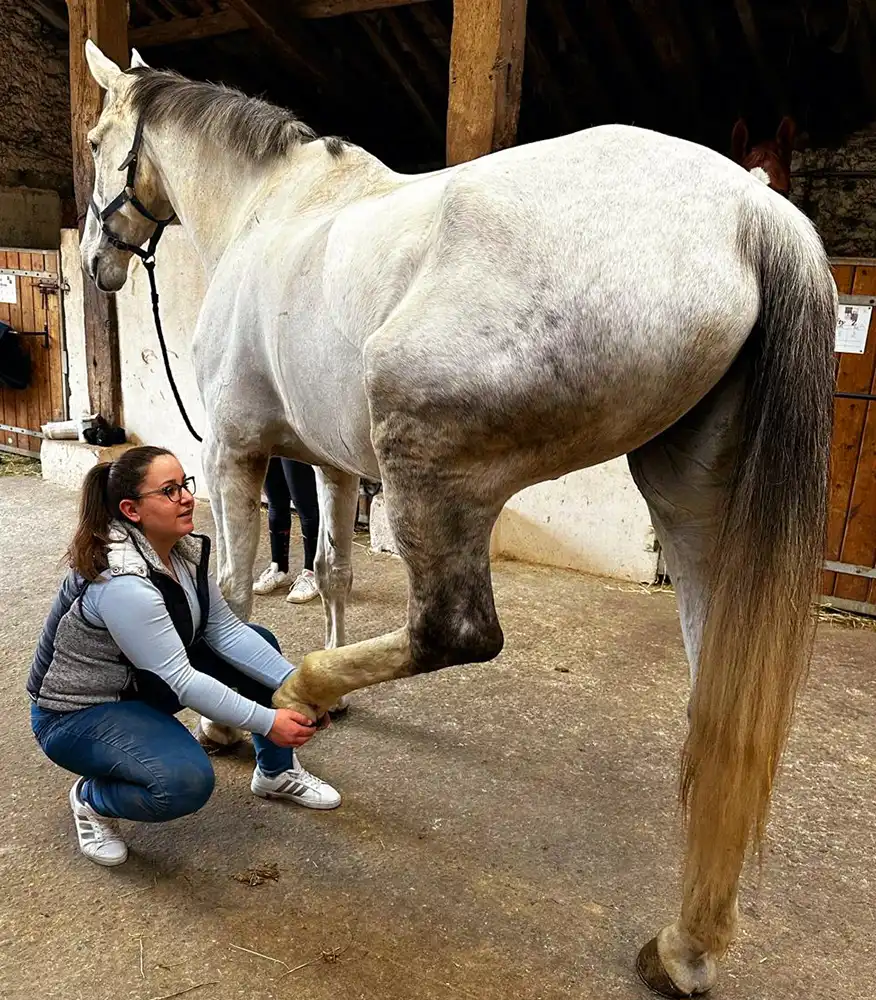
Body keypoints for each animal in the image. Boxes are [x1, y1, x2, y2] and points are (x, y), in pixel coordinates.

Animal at [80, 42, 835, 997]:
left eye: (96, 141)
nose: (94, 264)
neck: (275, 208)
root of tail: (753, 213)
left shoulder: (236, 452)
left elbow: (230, 589)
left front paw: (225, 719)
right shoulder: (331, 462)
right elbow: (331, 568)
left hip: (433, 474)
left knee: (454, 630)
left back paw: (299, 692)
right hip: (691, 505)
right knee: (723, 705)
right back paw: (686, 946)